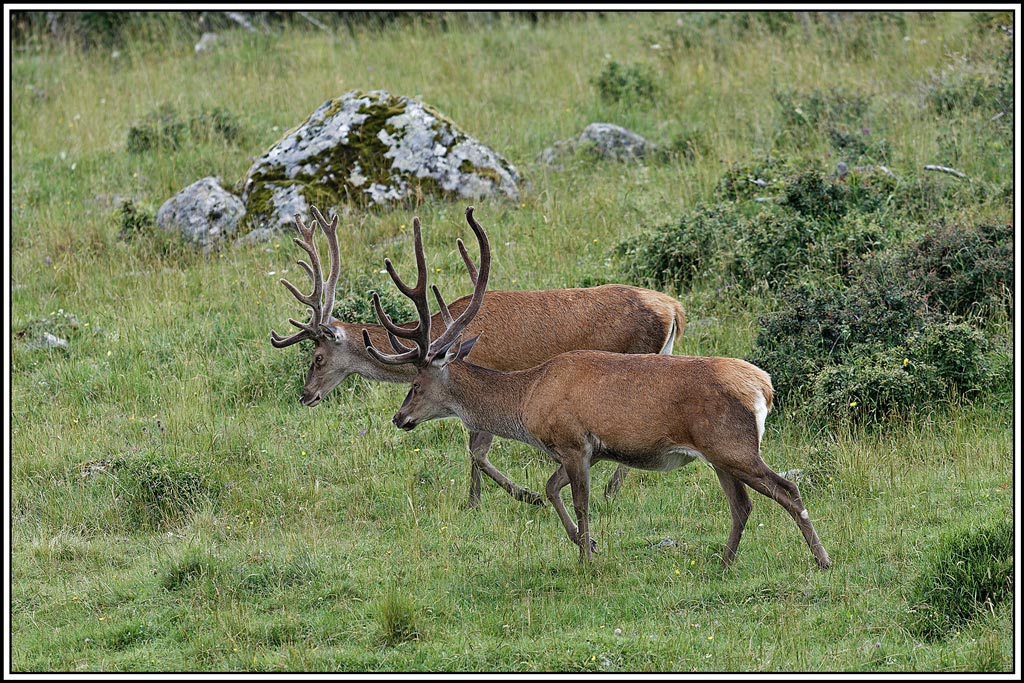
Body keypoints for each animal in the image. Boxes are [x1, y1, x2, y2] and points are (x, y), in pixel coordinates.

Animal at [270, 206, 688, 508]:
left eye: (317, 356)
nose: (306, 395)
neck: (445, 325)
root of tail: (674, 308)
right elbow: (475, 448)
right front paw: (481, 499)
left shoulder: (482, 374)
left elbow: (477, 448)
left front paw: (510, 497)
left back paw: (610, 490)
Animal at [363, 206, 832, 569]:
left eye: (417, 383)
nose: (399, 418)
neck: (527, 400)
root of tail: (764, 386)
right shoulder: (578, 450)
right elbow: (551, 490)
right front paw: (585, 543)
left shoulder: (574, 442)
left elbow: (579, 502)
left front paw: (586, 557)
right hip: (719, 455)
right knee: (742, 505)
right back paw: (724, 562)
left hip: (734, 446)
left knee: (787, 490)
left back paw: (822, 559)